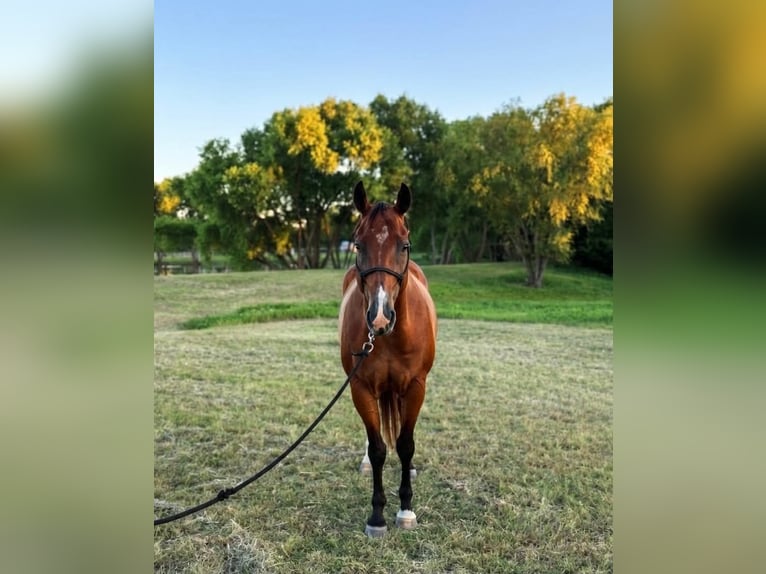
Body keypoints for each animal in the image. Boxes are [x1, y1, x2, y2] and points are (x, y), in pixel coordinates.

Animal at [339, 181, 437, 538]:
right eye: (358, 245)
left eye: (404, 245)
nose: (380, 317)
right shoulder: (360, 388)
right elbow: (379, 447)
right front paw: (377, 516)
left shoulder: (416, 387)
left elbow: (406, 445)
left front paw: (406, 509)